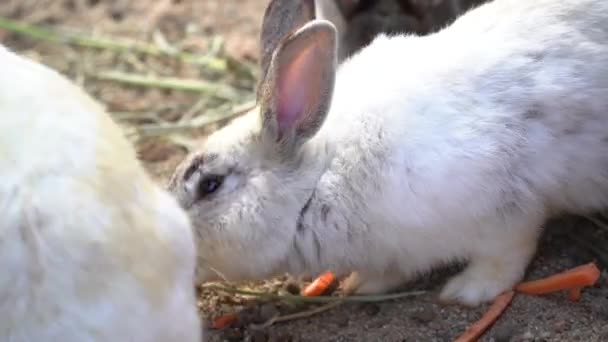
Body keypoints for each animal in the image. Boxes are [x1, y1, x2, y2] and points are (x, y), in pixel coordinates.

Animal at [169, 0, 608, 308]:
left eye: (210, 185)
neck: (320, 180)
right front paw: (360, 285)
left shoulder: (506, 209)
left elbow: (509, 254)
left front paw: (467, 291)